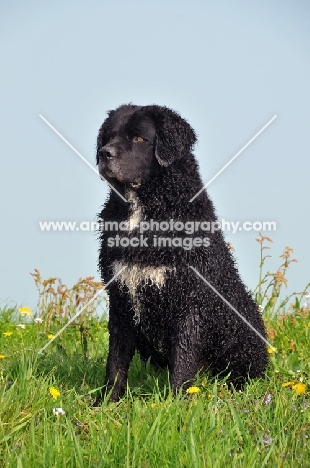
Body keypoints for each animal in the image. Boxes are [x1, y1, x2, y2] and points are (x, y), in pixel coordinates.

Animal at [95, 105, 268, 402]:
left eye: (139, 138)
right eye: (109, 136)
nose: (105, 153)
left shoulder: (189, 300)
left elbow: (183, 361)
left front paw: (175, 404)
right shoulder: (120, 297)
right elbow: (115, 362)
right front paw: (107, 402)